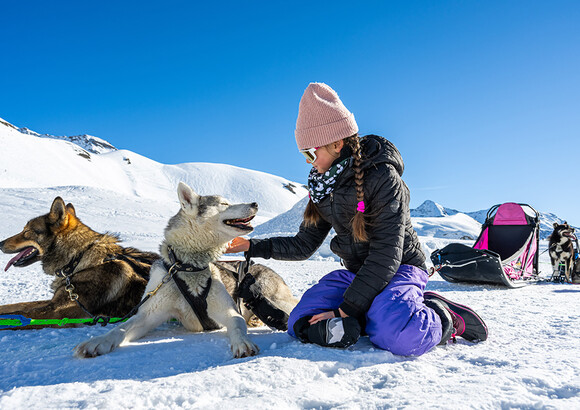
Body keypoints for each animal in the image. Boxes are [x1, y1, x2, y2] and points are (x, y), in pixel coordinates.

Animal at [0, 195, 159, 326]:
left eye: (26, 232)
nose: (0, 243)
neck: (77, 260)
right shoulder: (54, 302)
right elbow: (18, 306)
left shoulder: (57, 312)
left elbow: (19, 314)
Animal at [74, 183, 296, 358]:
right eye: (224, 204)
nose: (255, 203)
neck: (188, 267)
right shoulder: (148, 315)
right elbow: (120, 328)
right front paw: (98, 341)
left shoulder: (228, 311)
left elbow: (237, 325)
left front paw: (242, 343)